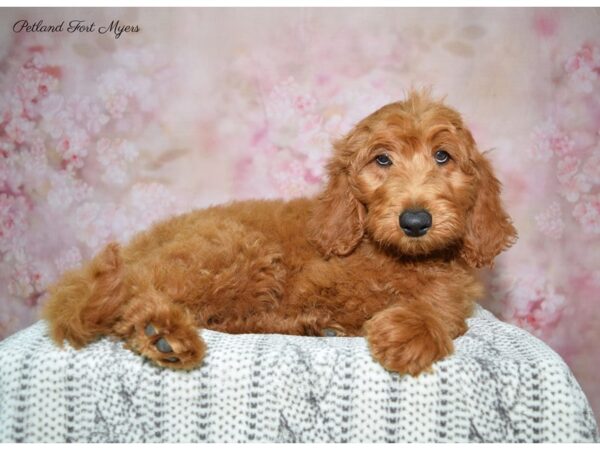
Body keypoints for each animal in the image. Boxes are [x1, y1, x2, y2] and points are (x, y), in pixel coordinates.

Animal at [44, 92, 516, 376]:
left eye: (443, 157)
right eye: (382, 160)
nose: (415, 221)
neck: (397, 256)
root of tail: (139, 243)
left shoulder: (455, 287)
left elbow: (443, 304)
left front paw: (414, 328)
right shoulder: (318, 285)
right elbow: (368, 300)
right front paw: (401, 327)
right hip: (237, 250)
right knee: (141, 293)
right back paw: (159, 332)